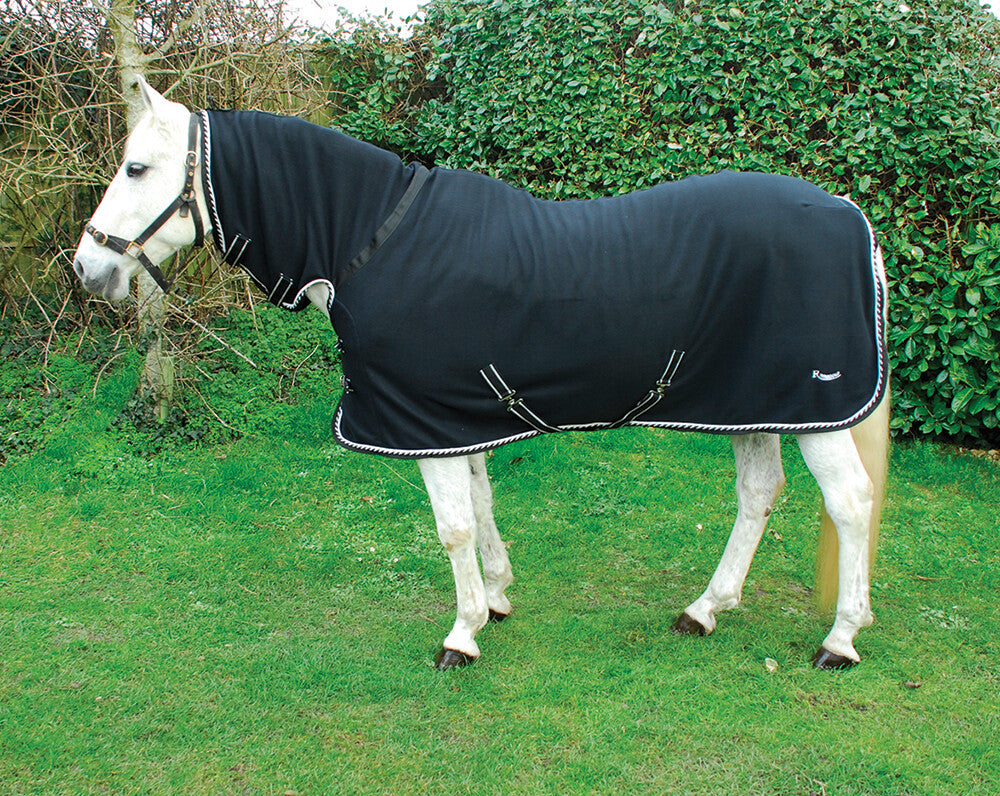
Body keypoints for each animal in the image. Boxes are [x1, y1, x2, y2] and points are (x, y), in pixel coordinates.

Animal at [73, 78, 889, 671]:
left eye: (137, 168)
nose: (87, 267)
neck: (370, 241)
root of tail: (849, 212)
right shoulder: (449, 416)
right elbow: (483, 504)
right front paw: (495, 599)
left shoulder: (421, 420)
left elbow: (454, 525)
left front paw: (461, 633)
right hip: (756, 404)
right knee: (759, 494)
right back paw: (704, 610)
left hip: (814, 412)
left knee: (850, 502)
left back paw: (840, 639)